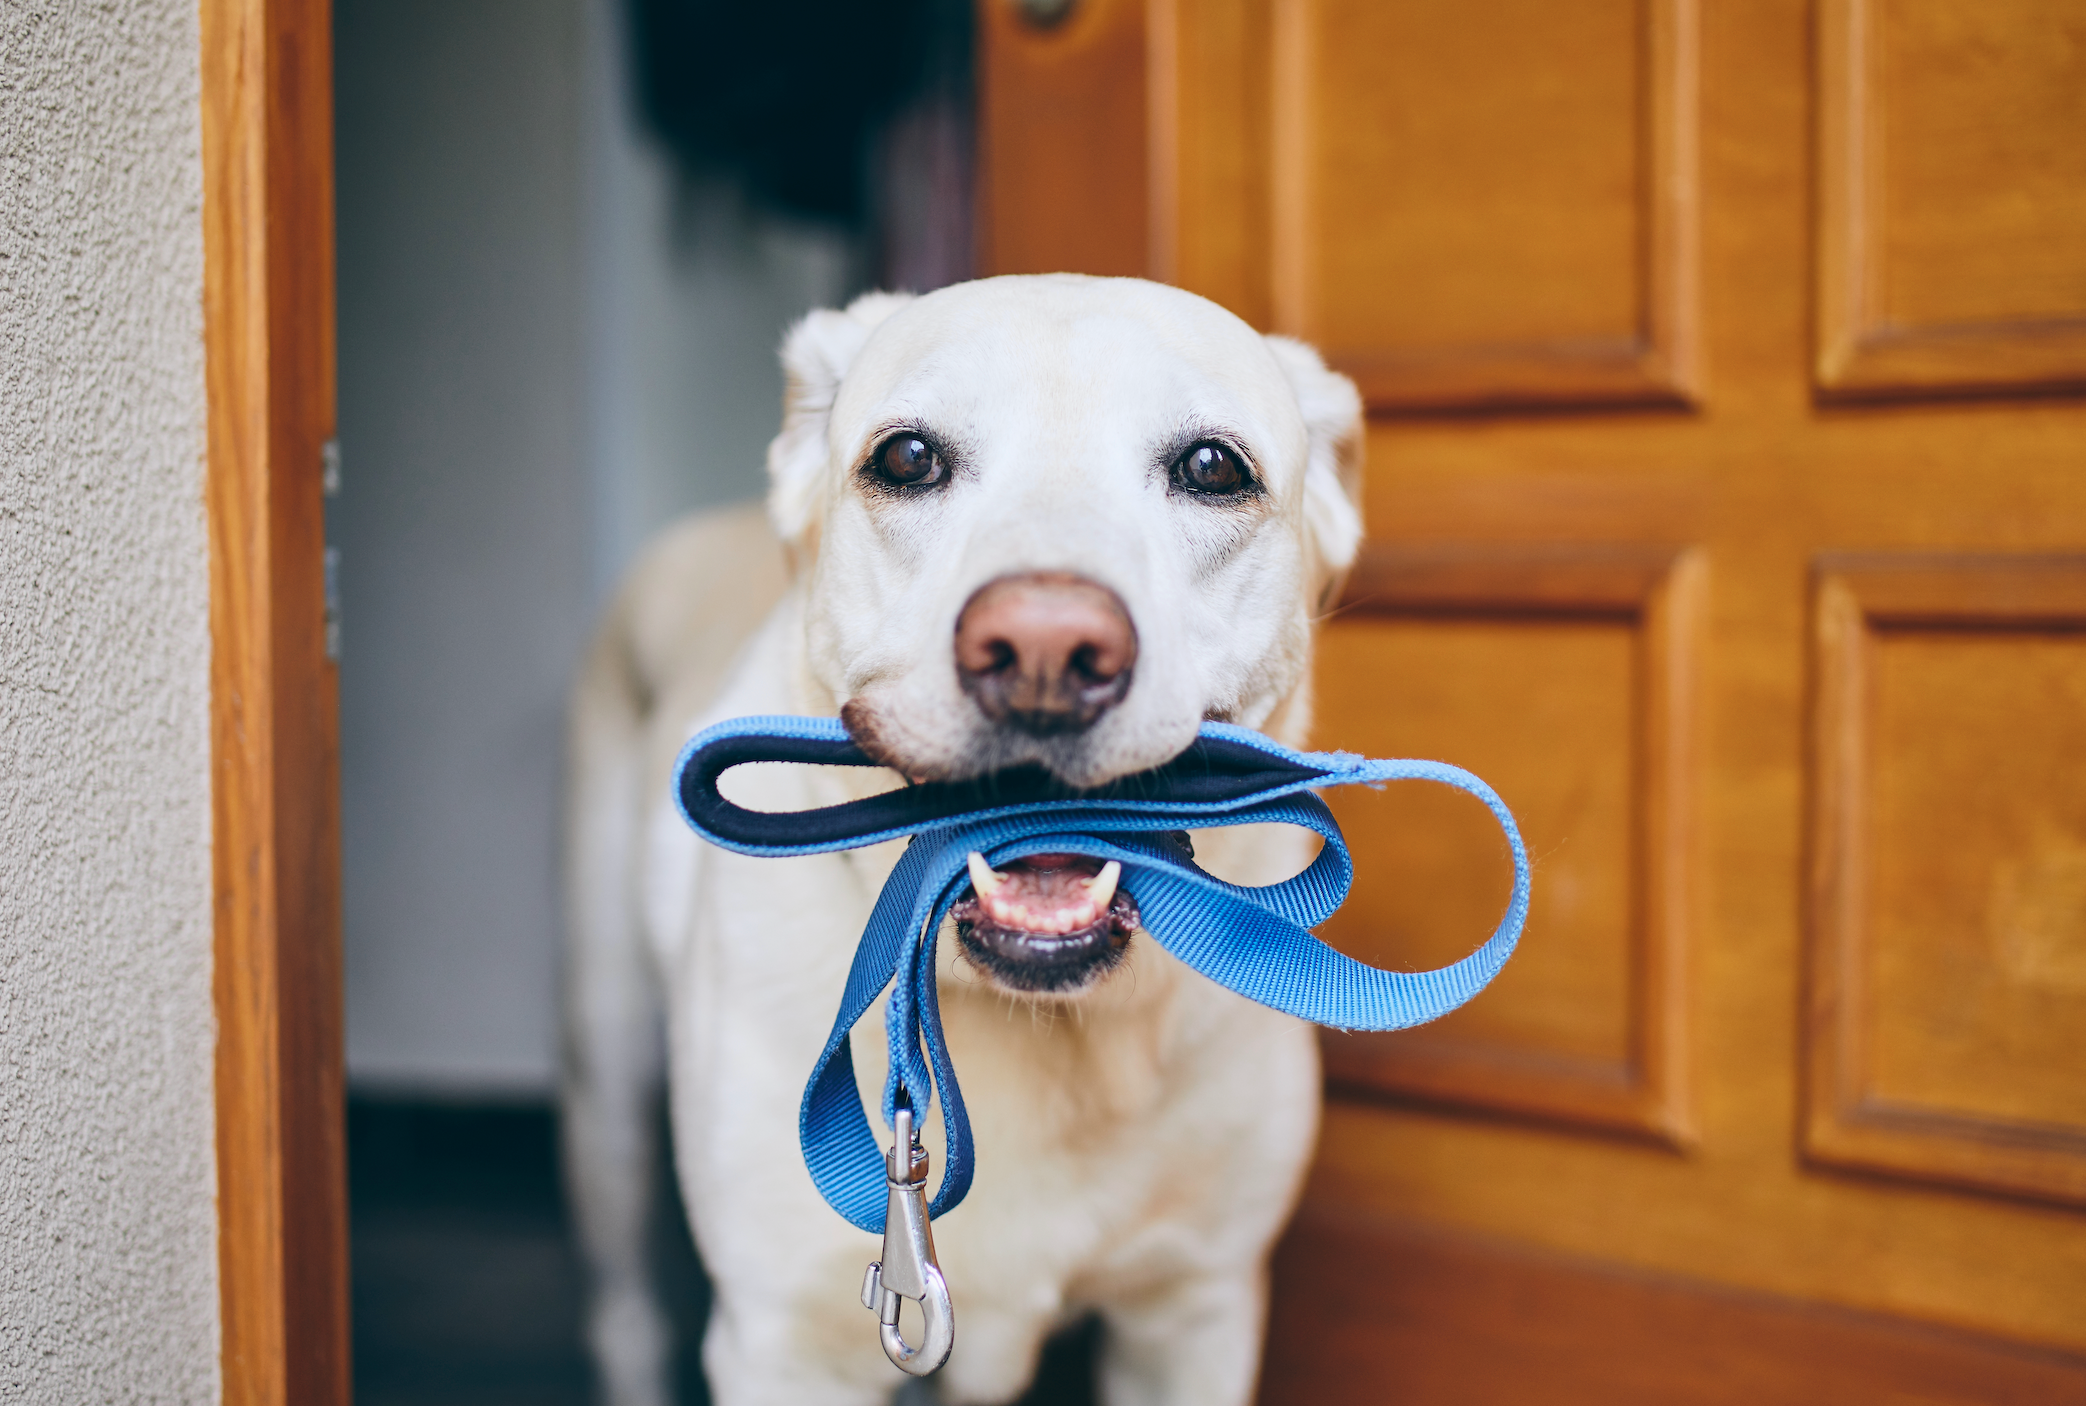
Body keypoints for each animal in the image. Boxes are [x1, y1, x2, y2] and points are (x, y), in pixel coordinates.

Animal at [563, 277, 1360, 1401]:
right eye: (906, 458)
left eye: (1213, 468)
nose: (1044, 648)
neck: (1036, 1024)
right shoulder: (785, 1342)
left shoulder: (1193, 1312)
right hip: (606, 1085)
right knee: (623, 1311)